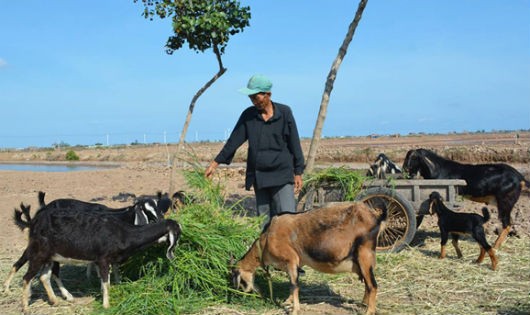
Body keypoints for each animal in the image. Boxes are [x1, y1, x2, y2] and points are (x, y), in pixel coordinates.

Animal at [16, 202, 179, 312]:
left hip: (50, 256)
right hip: (39, 253)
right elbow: (106, 283)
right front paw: (107, 306)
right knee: (27, 277)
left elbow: (109, 280)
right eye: (177, 233)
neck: (124, 232)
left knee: (44, 277)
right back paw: (26, 308)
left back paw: (56, 301)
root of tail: (35, 220)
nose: (174, 254)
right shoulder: (103, 259)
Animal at [229, 202, 386, 315]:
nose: (244, 293)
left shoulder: (291, 259)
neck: (266, 239)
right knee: (367, 284)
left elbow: (294, 285)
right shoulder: (295, 263)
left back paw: (369, 311)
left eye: (238, 279)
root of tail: (376, 216)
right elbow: (293, 282)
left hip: (364, 255)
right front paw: (287, 302)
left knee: (373, 285)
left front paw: (294, 310)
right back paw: (363, 304)